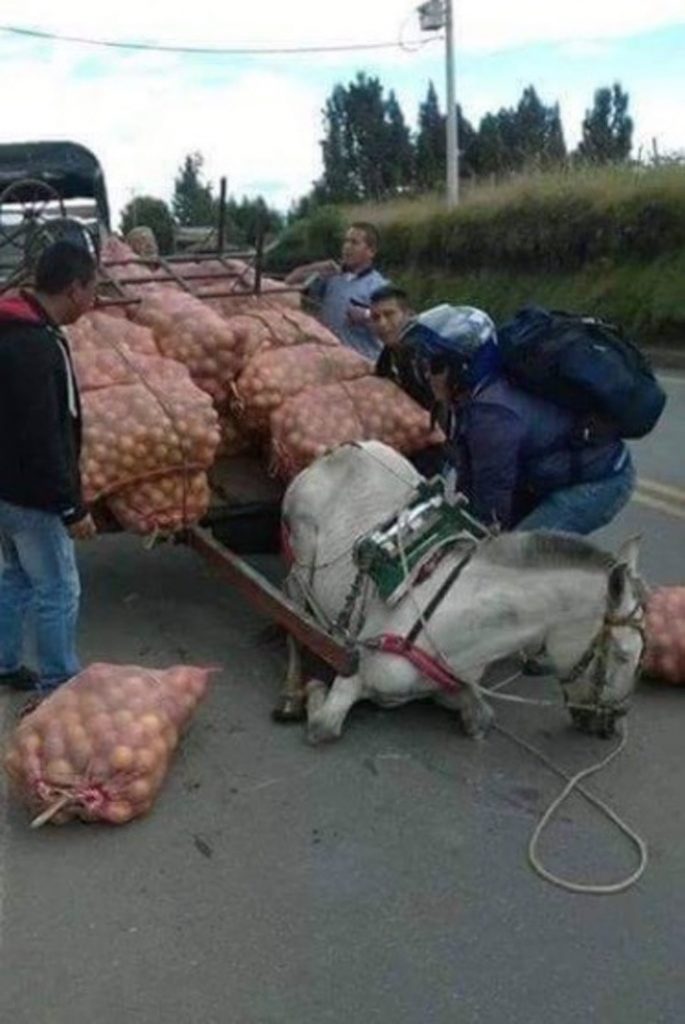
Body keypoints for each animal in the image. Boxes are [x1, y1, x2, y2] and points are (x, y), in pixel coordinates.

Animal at [274, 440, 643, 745]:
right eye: (623, 655)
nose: (612, 726)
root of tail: (340, 449)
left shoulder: (452, 684)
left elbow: (482, 718)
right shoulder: (355, 671)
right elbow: (323, 726)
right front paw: (313, 686)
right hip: (302, 554)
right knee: (292, 611)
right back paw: (291, 692)